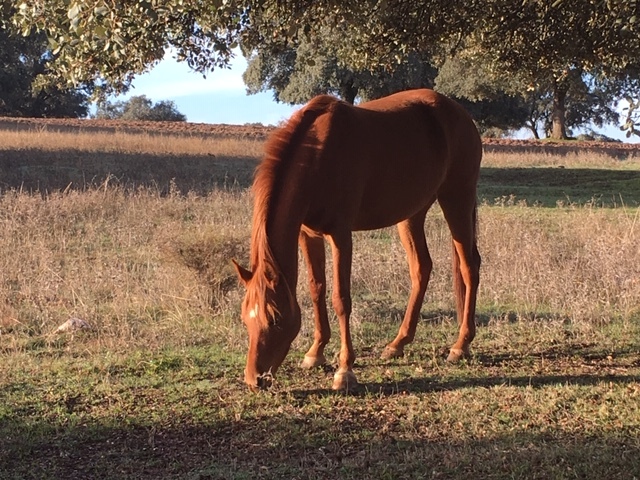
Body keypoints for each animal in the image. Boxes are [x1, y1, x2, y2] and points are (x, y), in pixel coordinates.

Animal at [233, 89, 482, 391]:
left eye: (275, 319)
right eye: (246, 317)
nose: (254, 379)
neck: (318, 156)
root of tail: (461, 114)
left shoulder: (340, 234)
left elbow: (341, 299)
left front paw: (344, 371)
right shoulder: (308, 234)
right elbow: (316, 289)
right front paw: (315, 353)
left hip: (457, 198)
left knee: (469, 268)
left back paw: (460, 344)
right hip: (412, 214)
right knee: (421, 268)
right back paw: (398, 343)